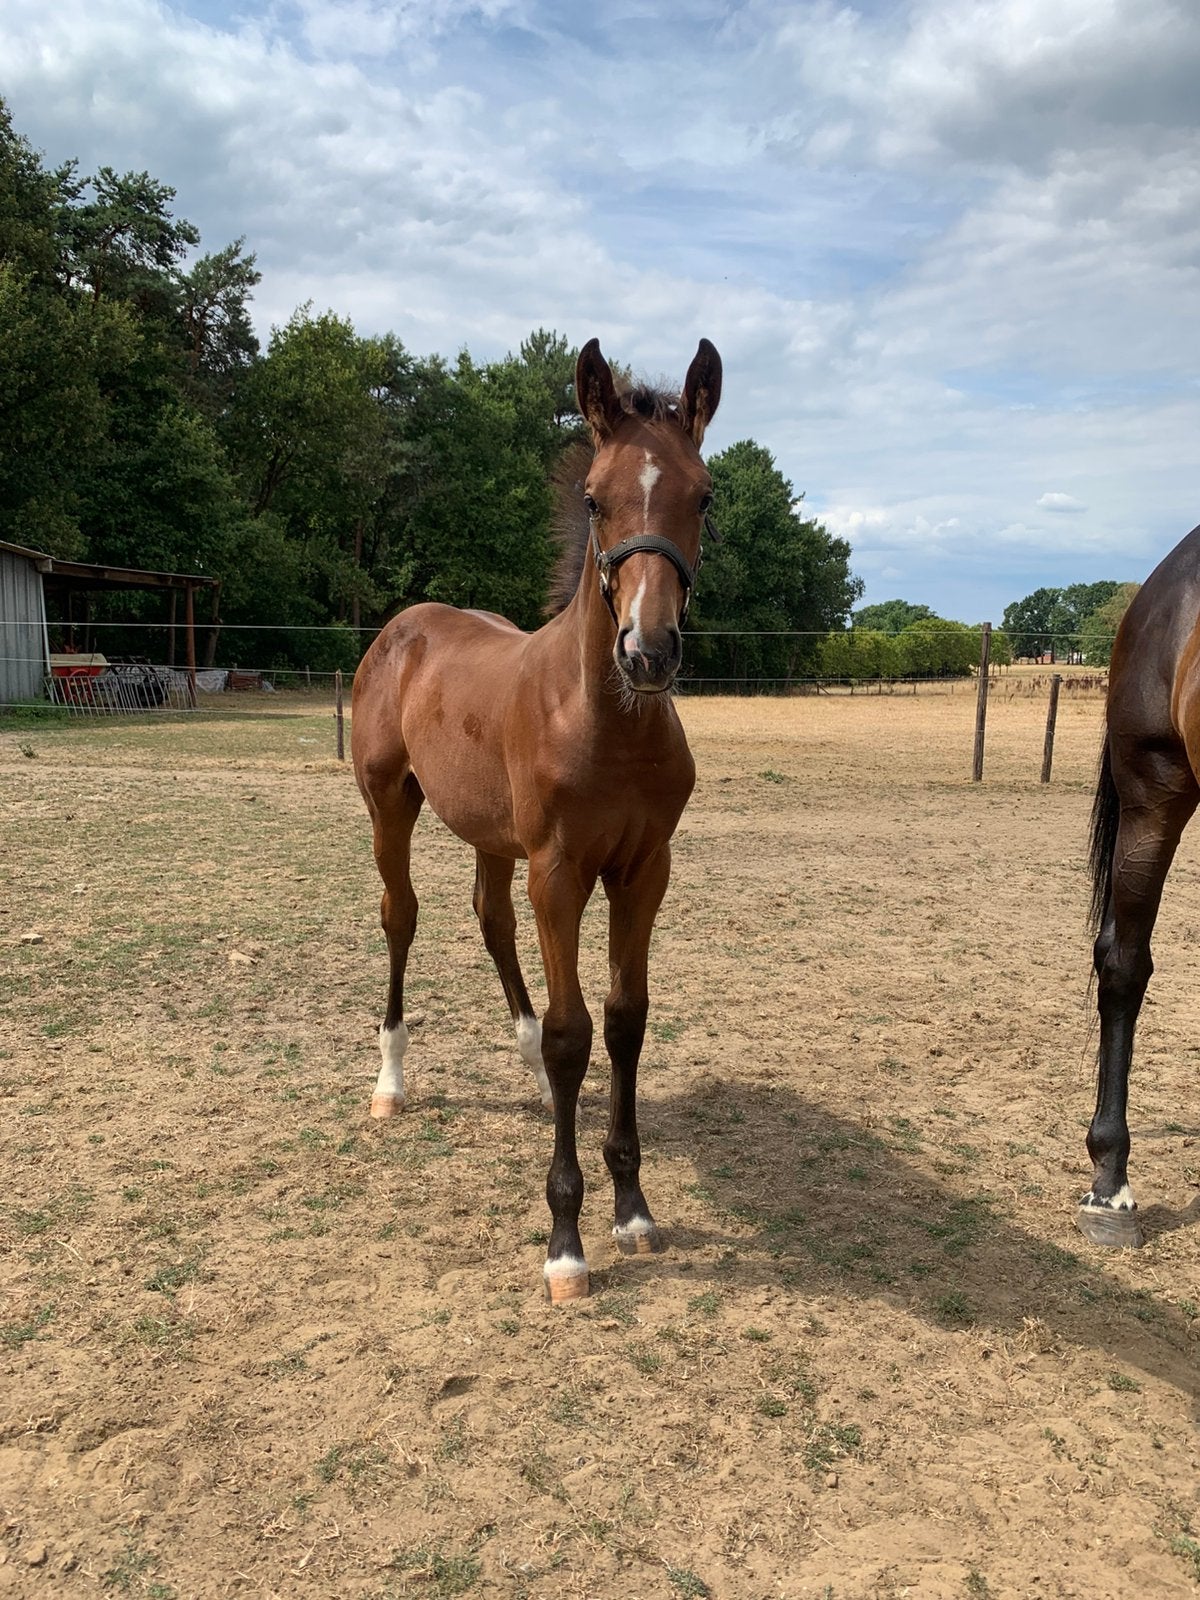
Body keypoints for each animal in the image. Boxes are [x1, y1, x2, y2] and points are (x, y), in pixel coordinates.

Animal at [351, 337, 722, 1301]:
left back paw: (514, 1056)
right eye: (594, 496)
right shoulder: (560, 870)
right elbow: (572, 1033)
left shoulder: (644, 870)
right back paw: (391, 1079)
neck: (605, 719)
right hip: (390, 803)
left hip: (491, 833)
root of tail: (404, 626)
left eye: (704, 494)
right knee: (401, 917)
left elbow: (624, 1019)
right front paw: (566, 1240)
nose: (648, 651)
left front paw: (633, 1207)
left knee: (490, 919)